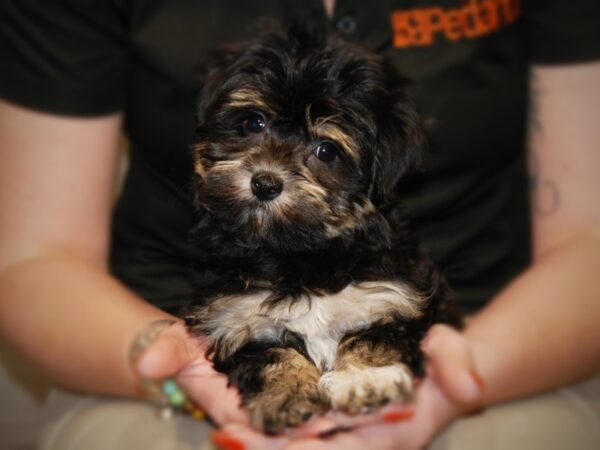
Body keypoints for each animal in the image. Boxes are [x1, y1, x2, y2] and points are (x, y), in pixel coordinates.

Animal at [185, 22, 462, 434]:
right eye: (253, 122)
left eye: (326, 151)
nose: (264, 183)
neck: (300, 257)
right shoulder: (233, 318)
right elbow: (269, 351)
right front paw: (287, 393)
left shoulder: (394, 297)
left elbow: (375, 338)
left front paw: (365, 380)